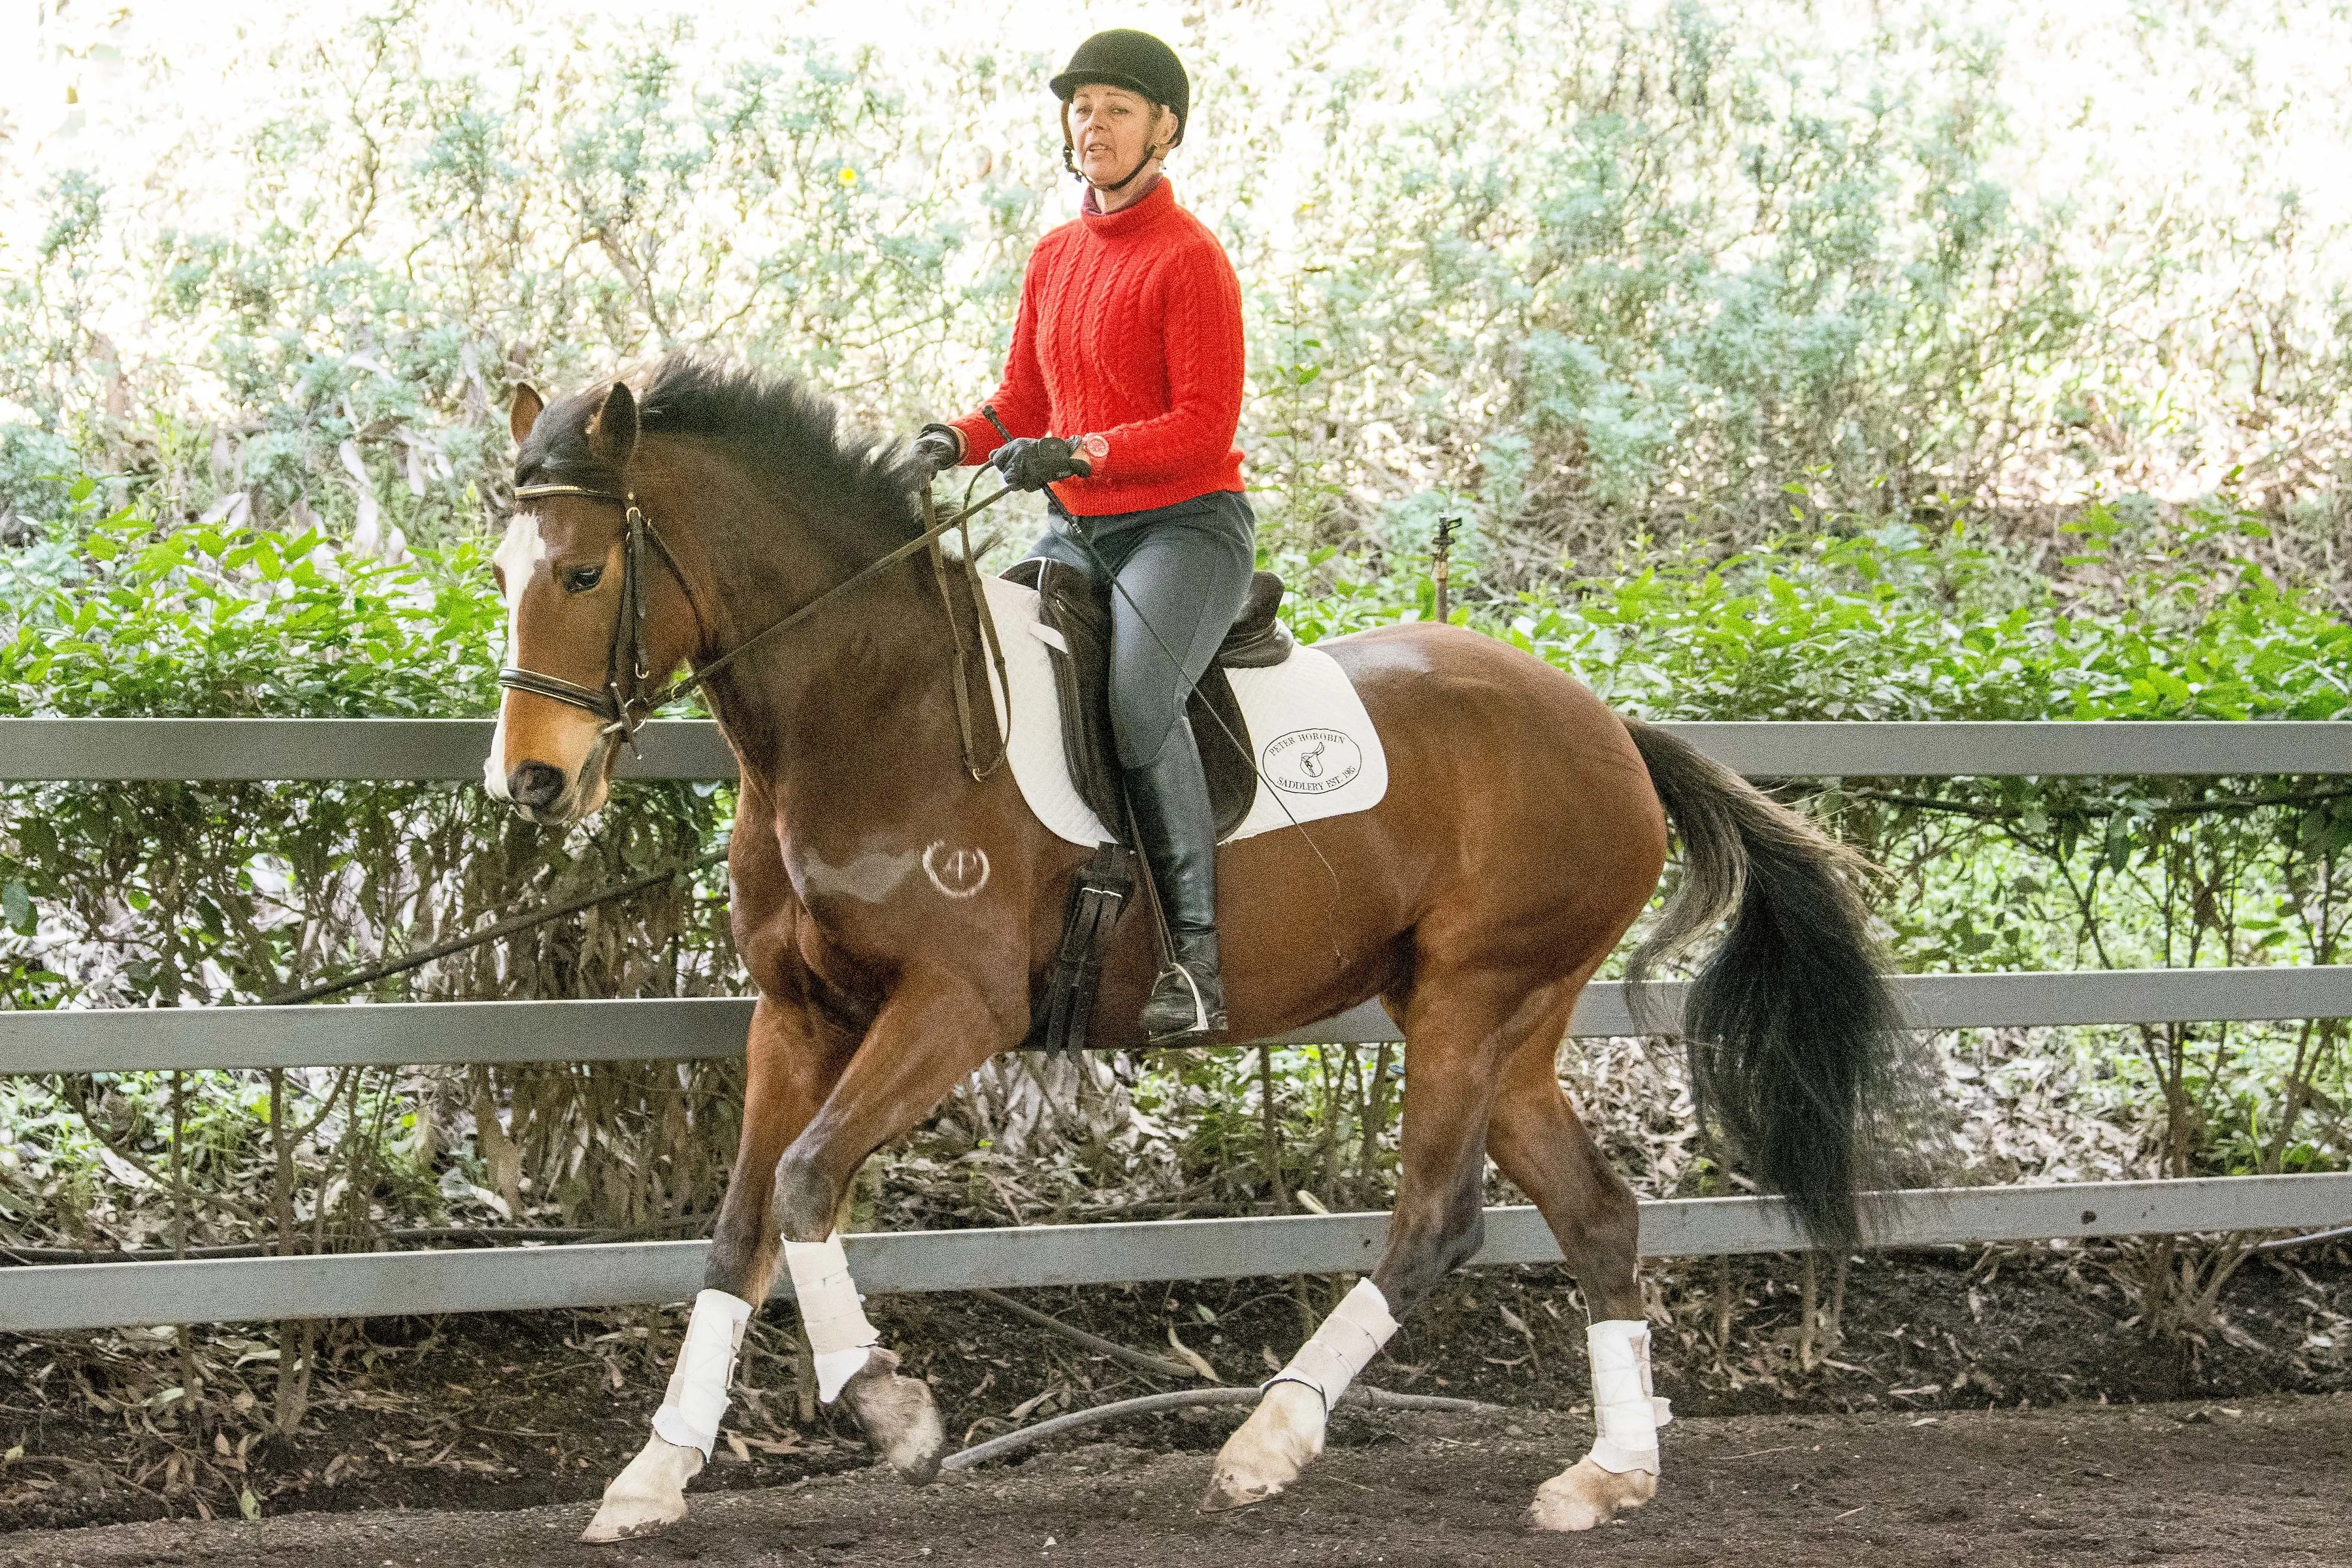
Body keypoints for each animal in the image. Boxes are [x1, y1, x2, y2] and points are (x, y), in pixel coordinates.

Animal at [491, 350, 1910, 1542]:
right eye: (502, 573)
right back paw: (1607, 1474)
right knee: (1599, 1216)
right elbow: (742, 1226)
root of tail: (1612, 728)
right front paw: (654, 1473)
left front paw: (892, 1410)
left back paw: (1268, 1442)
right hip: (1512, 1021)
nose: (533, 783)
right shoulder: (796, 1016)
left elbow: (804, 1183)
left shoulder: (955, 1008)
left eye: (583, 575)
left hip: (1474, 996)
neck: (874, 712)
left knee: (1436, 1220)